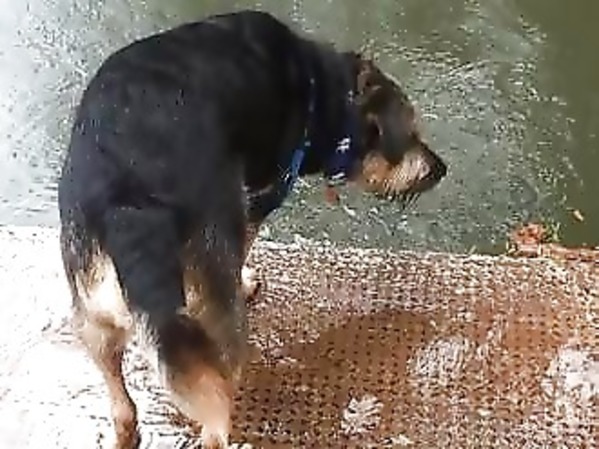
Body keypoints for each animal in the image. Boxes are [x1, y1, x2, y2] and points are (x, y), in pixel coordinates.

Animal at [57, 10, 446, 449]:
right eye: (412, 133)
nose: (441, 168)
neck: (323, 90)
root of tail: (130, 198)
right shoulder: (260, 195)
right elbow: (246, 244)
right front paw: (245, 281)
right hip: (212, 325)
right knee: (214, 420)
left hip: (94, 318)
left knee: (122, 408)